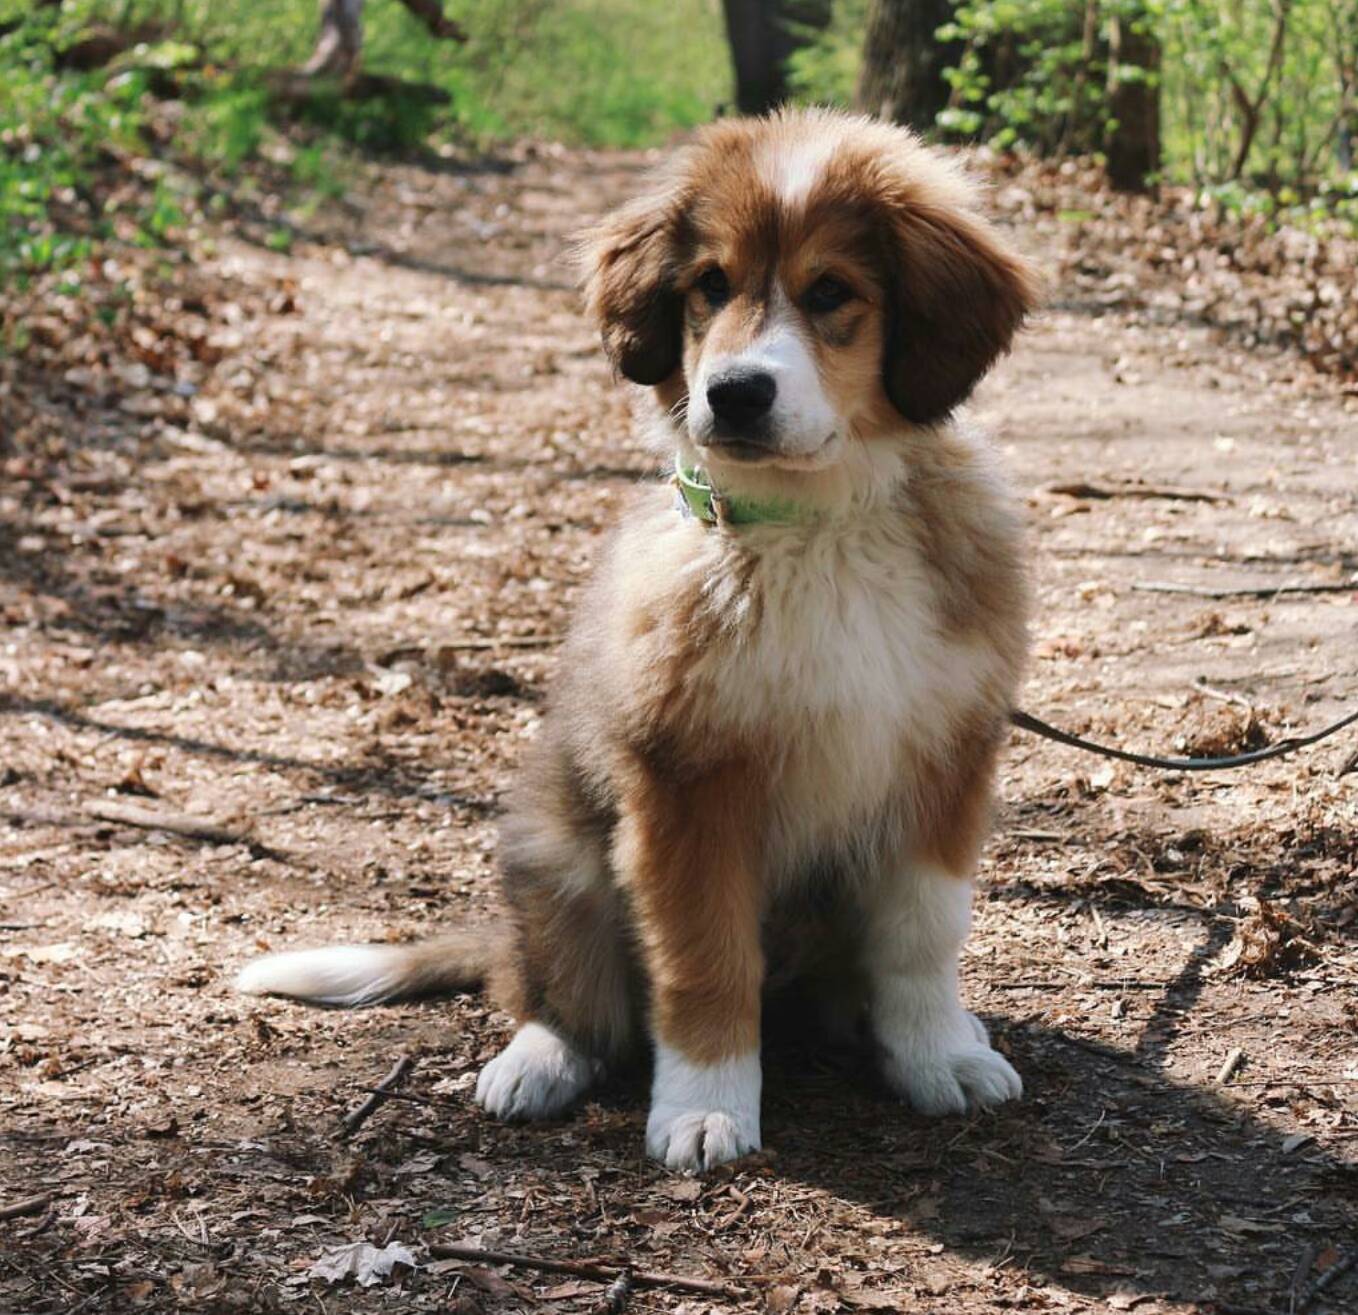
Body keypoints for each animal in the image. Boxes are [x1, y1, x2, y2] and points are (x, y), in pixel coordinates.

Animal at [236, 110, 1037, 1173]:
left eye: (832, 291)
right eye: (710, 286)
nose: (734, 393)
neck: (812, 525)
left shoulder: (945, 756)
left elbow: (922, 931)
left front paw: (937, 1052)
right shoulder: (686, 784)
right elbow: (702, 958)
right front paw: (706, 1102)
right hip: (557, 854)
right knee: (562, 993)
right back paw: (537, 1059)